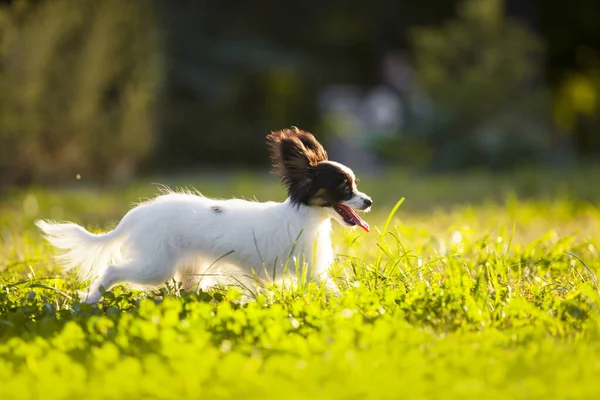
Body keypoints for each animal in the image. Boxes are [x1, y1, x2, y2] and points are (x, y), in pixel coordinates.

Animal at [36, 128, 370, 304]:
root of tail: (138, 214)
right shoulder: (311, 274)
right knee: (112, 270)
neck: (307, 219)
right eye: (344, 187)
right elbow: (334, 292)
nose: (368, 201)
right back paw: (91, 300)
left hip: (189, 270)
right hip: (156, 266)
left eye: (355, 184)